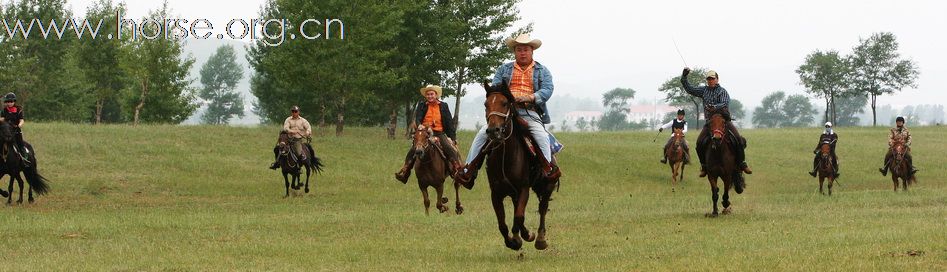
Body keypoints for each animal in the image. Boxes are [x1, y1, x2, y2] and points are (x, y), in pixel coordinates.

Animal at [482, 81, 556, 251]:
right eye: (486, 104)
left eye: (504, 103)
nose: (493, 130)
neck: (506, 155)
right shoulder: (496, 193)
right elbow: (503, 224)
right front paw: (514, 241)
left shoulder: (523, 188)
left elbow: (519, 217)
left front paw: (527, 236)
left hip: (548, 184)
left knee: (543, 208)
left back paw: (540, 239)